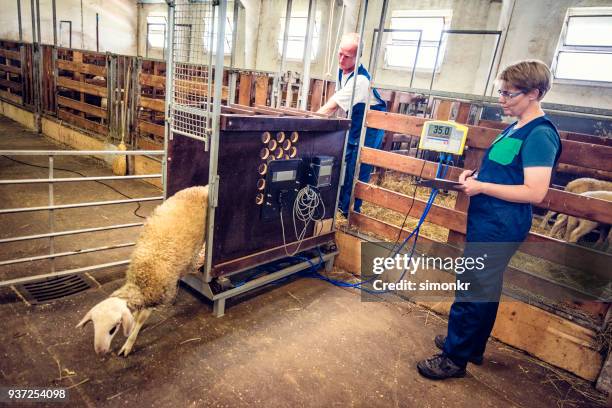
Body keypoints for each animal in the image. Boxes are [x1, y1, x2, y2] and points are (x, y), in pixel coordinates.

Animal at [75, 186, 209, 356]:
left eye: (113, 329)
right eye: (94, 326)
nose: (100, 351)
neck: (140, 283)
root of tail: (201, 188)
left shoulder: (152, 299)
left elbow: (139, 320)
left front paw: (128, 345)